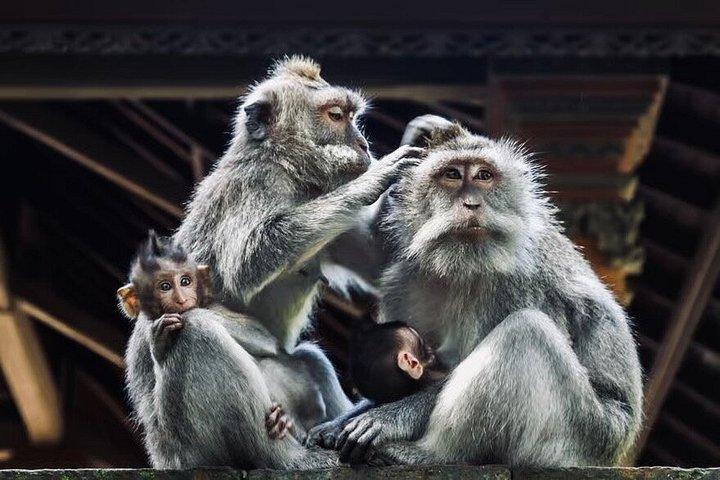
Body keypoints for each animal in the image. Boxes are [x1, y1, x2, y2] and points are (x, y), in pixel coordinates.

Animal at [120, 231, 337, 468]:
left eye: (185, 281)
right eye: (164, 286)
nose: (181, 298)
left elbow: (261, 336)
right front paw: (158, 339)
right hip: (191, 452)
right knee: (197, 330)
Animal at [330, 119, 644, 468]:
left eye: (484, 175)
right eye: (452, 174)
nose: (472, 204)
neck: (463, 263)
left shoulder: (519, 282)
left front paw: (389, 418)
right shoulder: (405, 266)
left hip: (582, 436)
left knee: (527, 331)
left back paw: (431, 454)